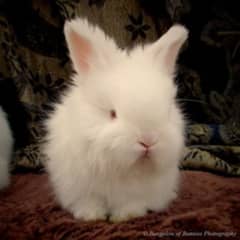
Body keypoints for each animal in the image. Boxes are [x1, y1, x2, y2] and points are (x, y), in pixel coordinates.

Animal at [44, 18, 188, 221]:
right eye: (112, 114)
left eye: (167, 112)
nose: (148, 140)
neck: (123, 169)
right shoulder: (81, 189)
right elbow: (89, 202)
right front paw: (90, 216)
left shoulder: (135, 194)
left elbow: (130, 204)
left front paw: (126, 216)